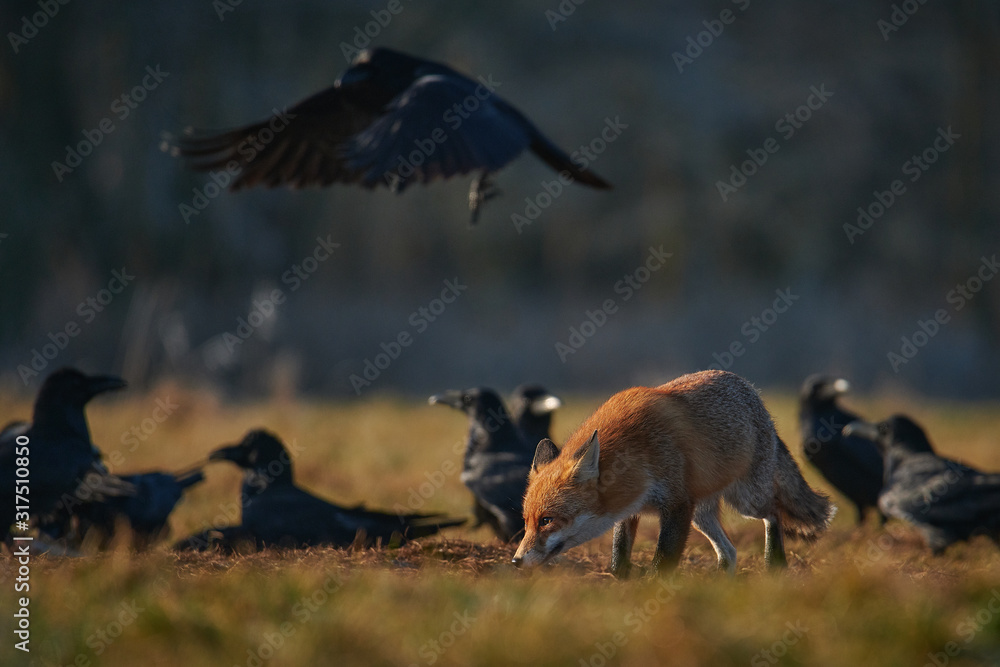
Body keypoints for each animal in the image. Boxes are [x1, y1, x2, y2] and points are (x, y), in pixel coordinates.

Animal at [511, 370, 835, 577]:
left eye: (547, 520)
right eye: (526, 522)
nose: (515, 561)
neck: (638, 451)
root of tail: (752, 392)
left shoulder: (677, 504)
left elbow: (664, 558)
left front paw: (652, 586)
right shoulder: (630, 507)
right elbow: (619, 553)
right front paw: (620, 578)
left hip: (745, 500)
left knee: (774, 511)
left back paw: (774, 564)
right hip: (701, 515)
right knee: (729, 552)